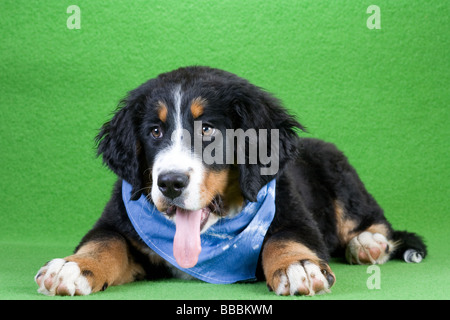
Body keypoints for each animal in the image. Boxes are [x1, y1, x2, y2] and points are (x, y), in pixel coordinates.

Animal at [34, 66, 426, 296]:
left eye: (208, 130)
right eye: (155, 131)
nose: (170, 183)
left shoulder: (294, 214)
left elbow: (285, 238)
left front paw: (296, 265)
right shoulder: (116, 221)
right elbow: (104, 243)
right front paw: (72, 267)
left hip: (340, 176)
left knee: (373, 221)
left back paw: (367, 244)